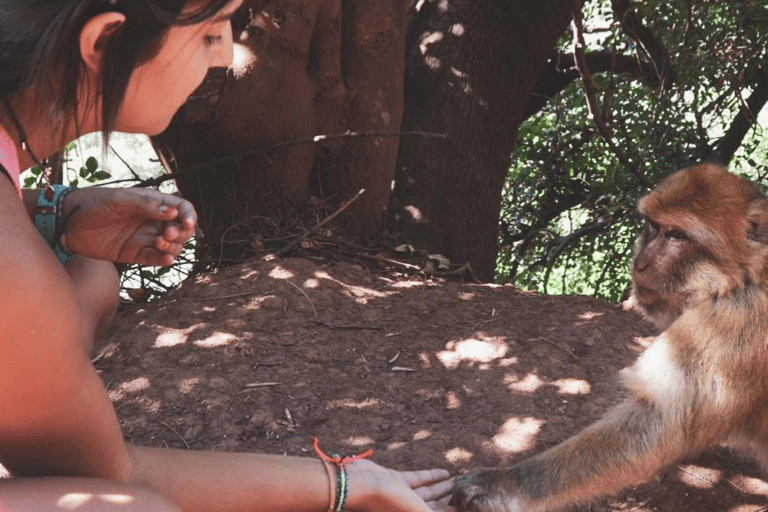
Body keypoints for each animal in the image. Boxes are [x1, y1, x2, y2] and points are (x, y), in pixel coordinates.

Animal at [450, 165, 768, 512]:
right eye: (653, 227)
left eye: (676, 235)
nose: (640, 264)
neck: (740, 277)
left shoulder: (728, 323)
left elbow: (659, 424)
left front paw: (506, 483)